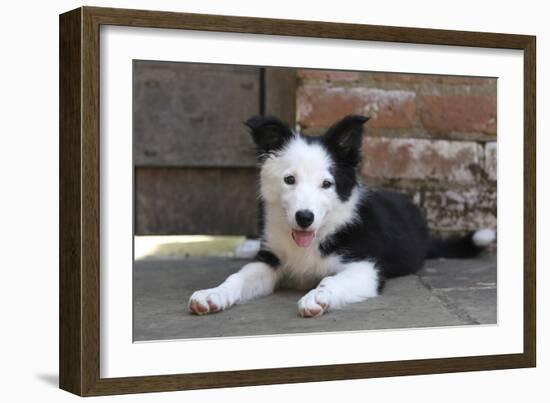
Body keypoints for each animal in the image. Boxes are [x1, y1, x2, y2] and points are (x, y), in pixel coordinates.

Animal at [189, 115, 496, 318]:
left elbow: (330, 281)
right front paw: (212, 294)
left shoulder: (366, 267)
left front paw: (317, 297)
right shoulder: (270, 259)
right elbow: (237, 277)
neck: (317, 236)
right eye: (289, 180)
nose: (304, 218)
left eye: (327, 184)